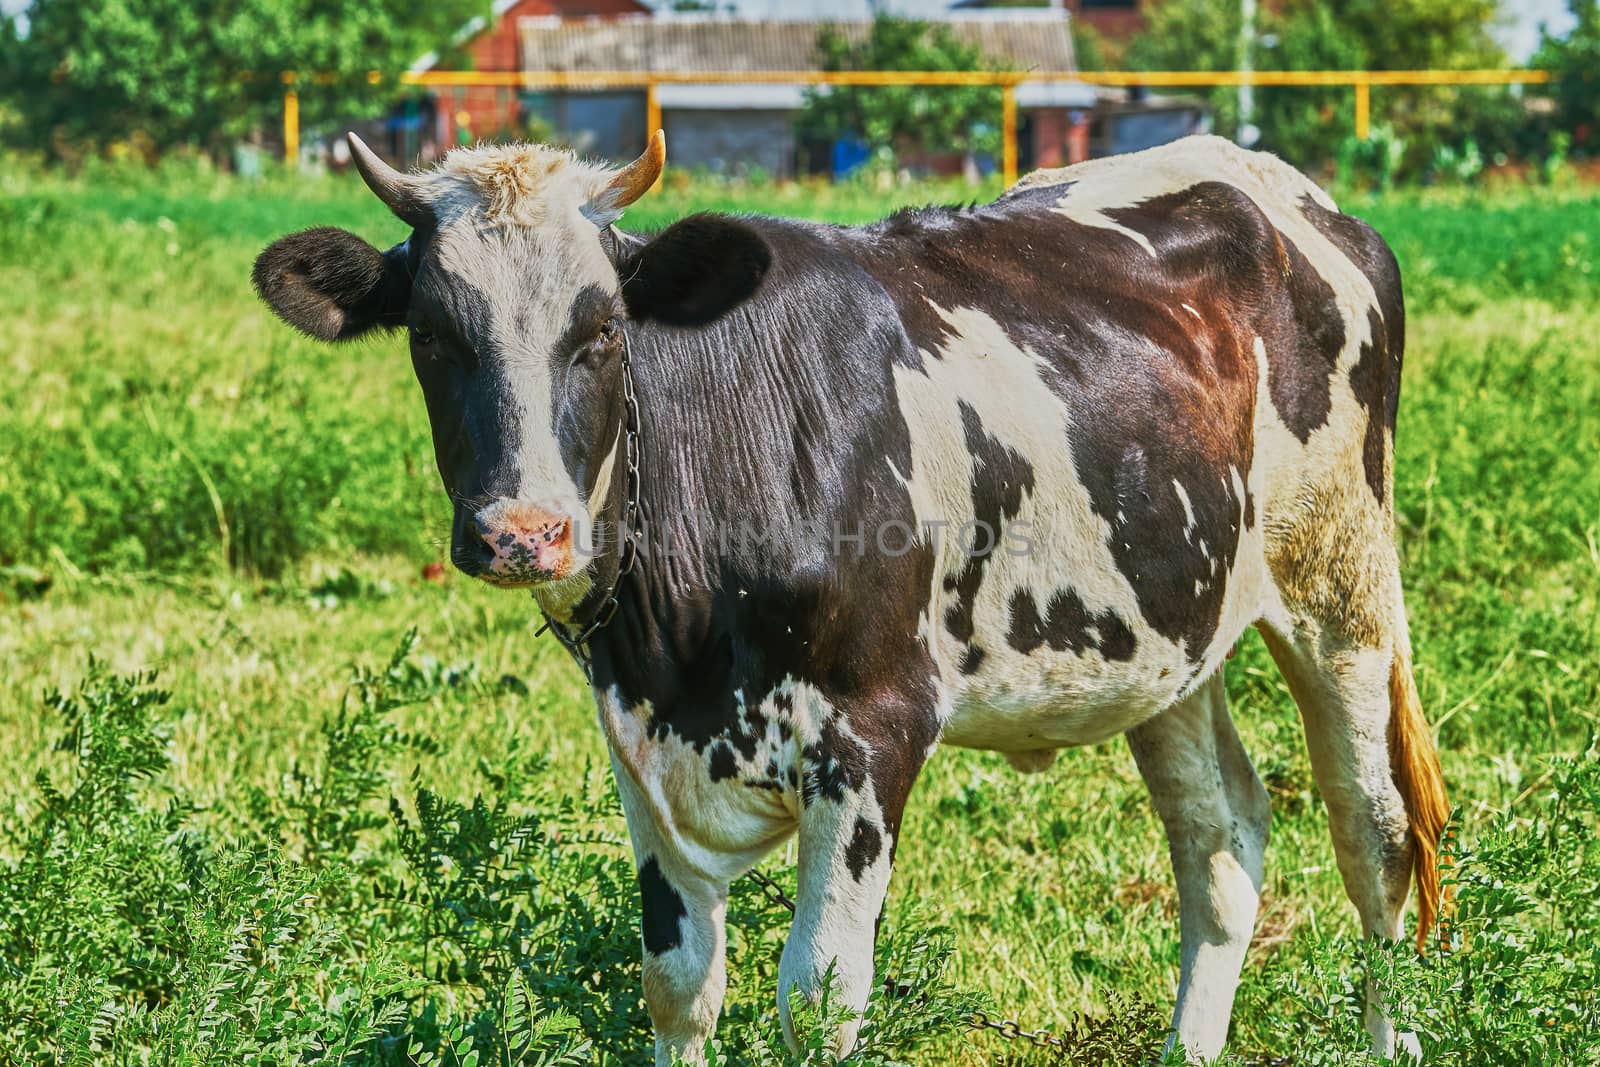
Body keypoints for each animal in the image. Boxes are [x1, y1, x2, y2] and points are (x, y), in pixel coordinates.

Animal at [252, 129, 1452, 1062]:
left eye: (600, 330)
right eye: (430, 334)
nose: (523, 532)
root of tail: (1273, 182)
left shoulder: (873, 734)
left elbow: (817, 999)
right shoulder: (640, 747)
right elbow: (677, 986)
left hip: (1342, 589)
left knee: (1375, 834)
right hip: (1168, 638)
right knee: (1220, 844)